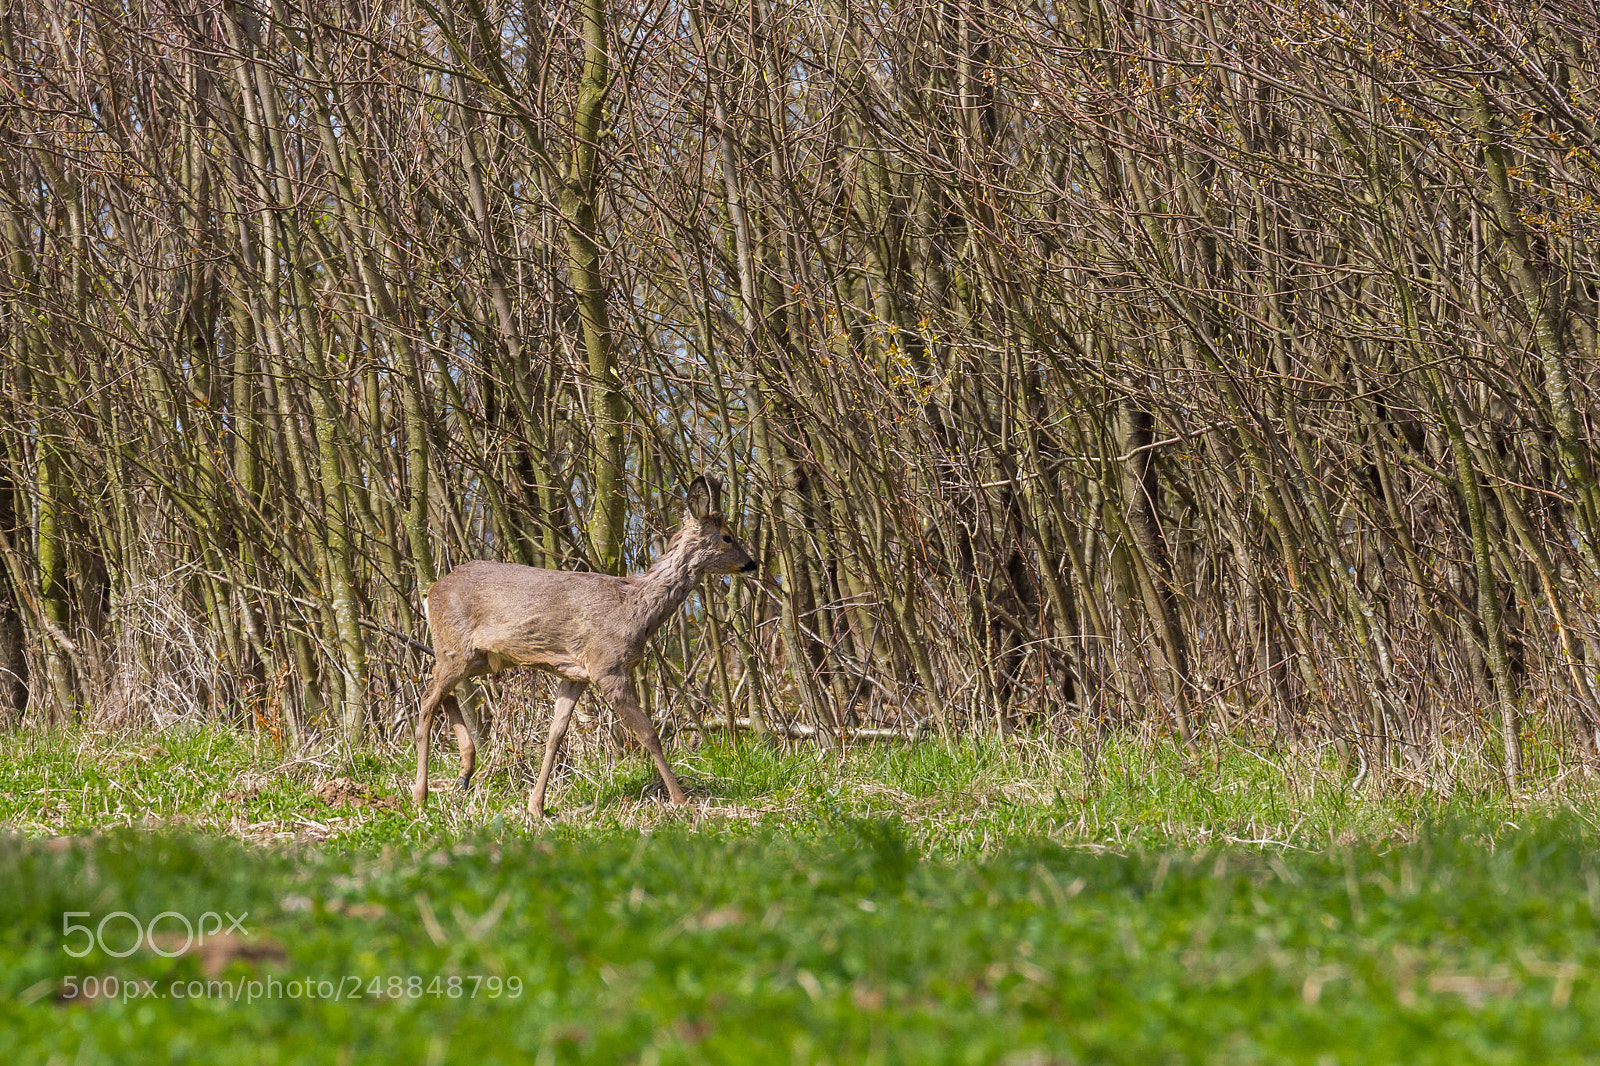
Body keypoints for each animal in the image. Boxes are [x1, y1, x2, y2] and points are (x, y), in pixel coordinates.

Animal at [412, 475, 757, 817]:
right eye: (727, 536)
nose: (751, 563)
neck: (635, 609)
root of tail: (431, 592)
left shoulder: (574, 674)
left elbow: (555, 735)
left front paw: (535, 806)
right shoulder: (607, 666)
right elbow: (648, 734)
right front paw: (681, 800)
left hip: (478, 656)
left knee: (438, 688)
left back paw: (465, 772)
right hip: (456, 648)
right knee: (427, 701)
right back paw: (420, 794)